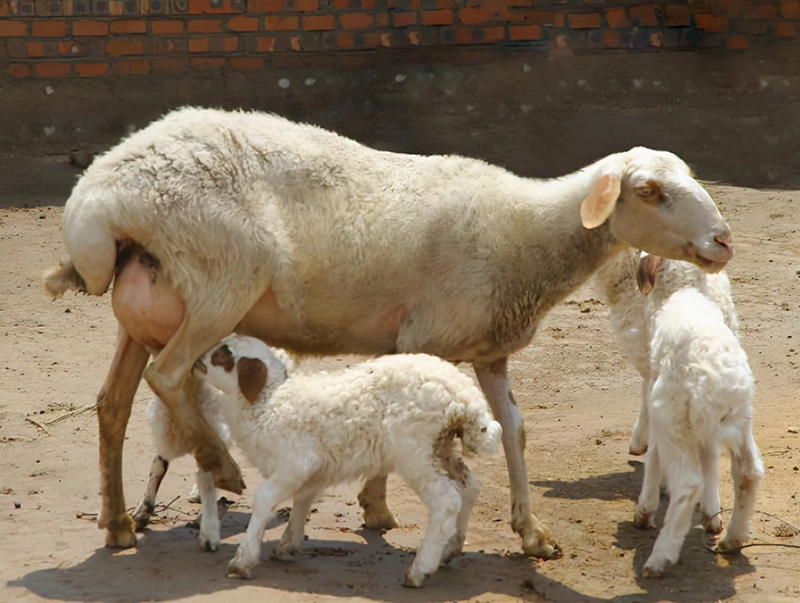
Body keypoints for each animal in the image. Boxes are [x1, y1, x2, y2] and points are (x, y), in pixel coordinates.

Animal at [40, 105, 736, 556]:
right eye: (649, 190)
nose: (724, 241)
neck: (525, 234)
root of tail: (96, 198)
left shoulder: (489, 350)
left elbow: (514, 429)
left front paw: (531, 532)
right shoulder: (424, 340)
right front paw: (376, 507)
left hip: (148, 307)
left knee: (113, 403)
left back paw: (117, 523)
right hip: (221, 277)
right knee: (169, 374)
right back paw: (220, 466)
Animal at [193, 332, 500, 588]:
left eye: (224, 353)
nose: (196, 362)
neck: (267, 402)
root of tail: (464, 398)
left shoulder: (296, 461)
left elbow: (264, 500)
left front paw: (242, 561)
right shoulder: (312, 468)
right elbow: (302, 500)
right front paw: (288, 545)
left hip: (415, 451)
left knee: (446, 499)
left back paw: (419, 570)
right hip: (441, 447)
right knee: (469, 487)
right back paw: (449, 549)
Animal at [632, 258, 764, 580]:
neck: (685, 289)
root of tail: (717, 380)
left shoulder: (659, 400)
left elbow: (654, 455)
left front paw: (644, 509)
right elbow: (709, 459)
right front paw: (710, 515)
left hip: (672, 418)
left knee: (688, 482)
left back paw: (660, 556)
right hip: (740, 419)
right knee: (749, 471)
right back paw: (733, 539)